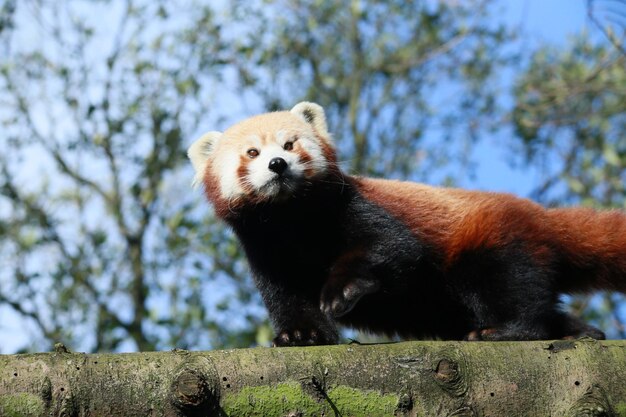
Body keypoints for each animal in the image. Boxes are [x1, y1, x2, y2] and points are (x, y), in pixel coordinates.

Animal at [186, 101, 624, 344]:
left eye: (290, 144)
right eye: (252, 153)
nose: (277, 164)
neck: (292, 219)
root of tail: (538, 213)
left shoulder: (356, 209)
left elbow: (393, 247)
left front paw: (343, 291)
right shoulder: (266, 250)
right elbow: (287, 297)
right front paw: (302, 335)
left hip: (492, 241)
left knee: (510, 287)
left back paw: (509, 330)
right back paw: (579, 330)